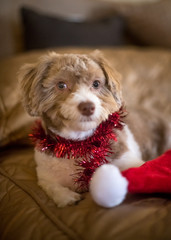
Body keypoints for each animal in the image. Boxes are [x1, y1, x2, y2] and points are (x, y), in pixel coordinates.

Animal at [19, 51, 170, 207]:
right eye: (61, 85)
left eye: (96, 83)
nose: (87, 106)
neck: (79, 144)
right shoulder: (45, 173)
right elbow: (51, 186)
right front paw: (66, 197)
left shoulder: (127, 160)